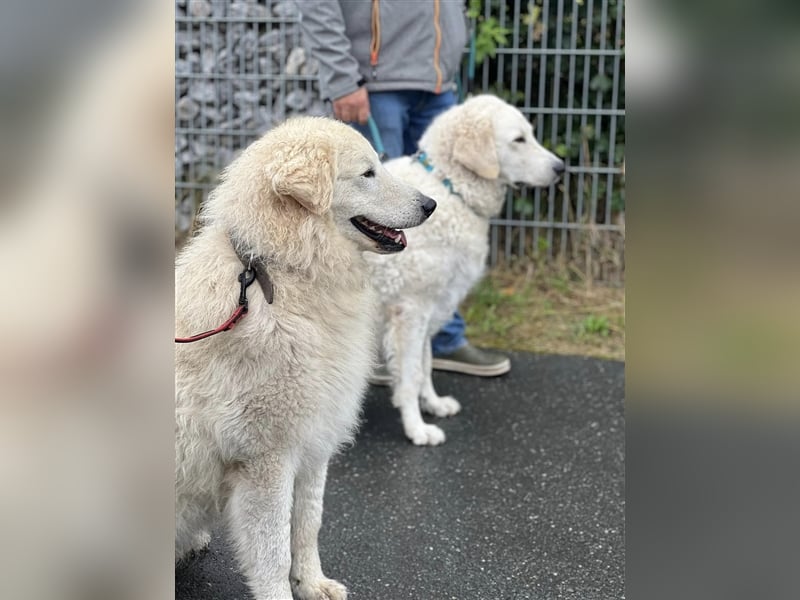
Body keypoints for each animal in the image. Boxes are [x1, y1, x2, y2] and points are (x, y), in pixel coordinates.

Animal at [175, 115, 434, 596]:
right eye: (368, 173)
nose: (431, 204)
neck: (278, 276)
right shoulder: (267, 460)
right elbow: (273, 550)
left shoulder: (313, 448)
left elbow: (308, 524)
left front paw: (313, 583)